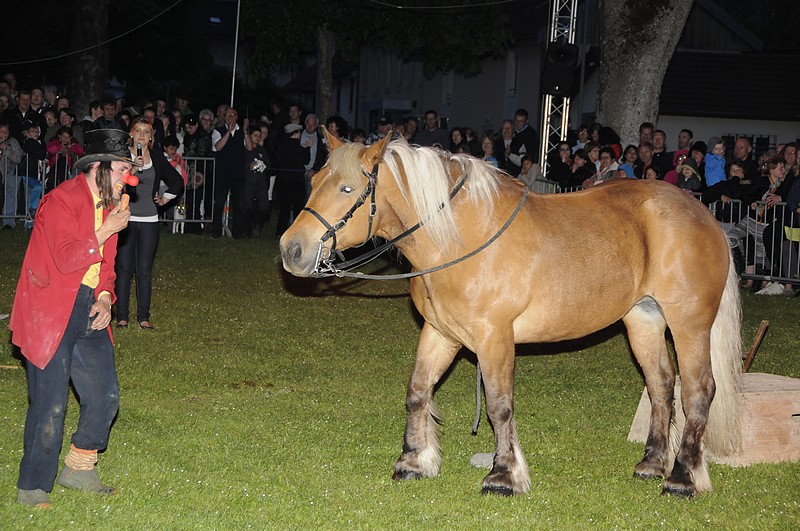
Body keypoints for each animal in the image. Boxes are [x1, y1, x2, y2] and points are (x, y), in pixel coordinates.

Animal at [280, 129, 742, 497]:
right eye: (315, 180)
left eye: (346, 189)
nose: (292, 250)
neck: (460, 237)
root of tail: (705, 216)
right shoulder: (441, 332)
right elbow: (417, 391)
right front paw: (413, 461)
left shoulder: (494, 336)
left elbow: (500, 405)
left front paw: (503, 475)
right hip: (643, 320)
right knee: (661, 386)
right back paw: (651, 464)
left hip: (689, 324)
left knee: (697, 391)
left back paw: (681, 478)